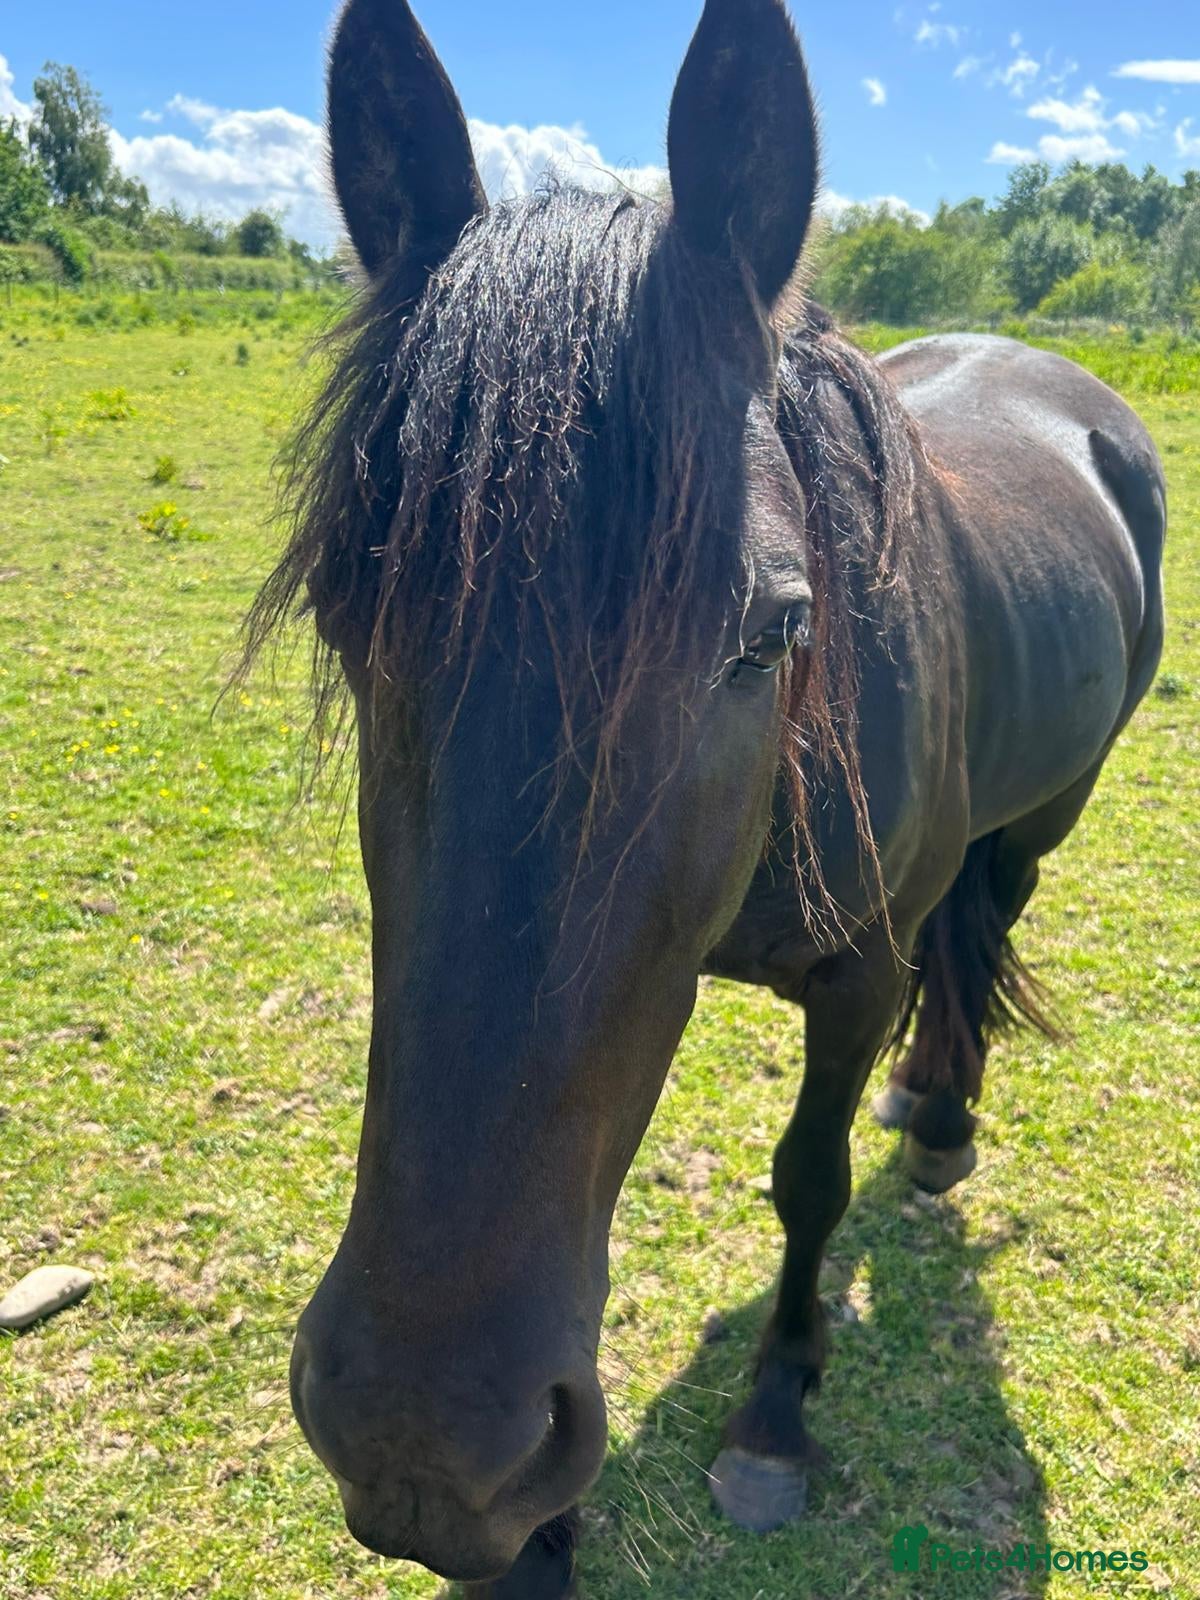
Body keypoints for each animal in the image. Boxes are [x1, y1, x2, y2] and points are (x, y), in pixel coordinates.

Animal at [246, 0, 1166, 1593]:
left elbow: (808, 1179)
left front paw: (774, 1416)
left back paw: (940, 1116)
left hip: (1056, 806)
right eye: (351, 624)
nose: (425, 1445)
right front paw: (538, 1535)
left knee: (990, 919)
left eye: (774, 631)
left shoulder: (855, 980)